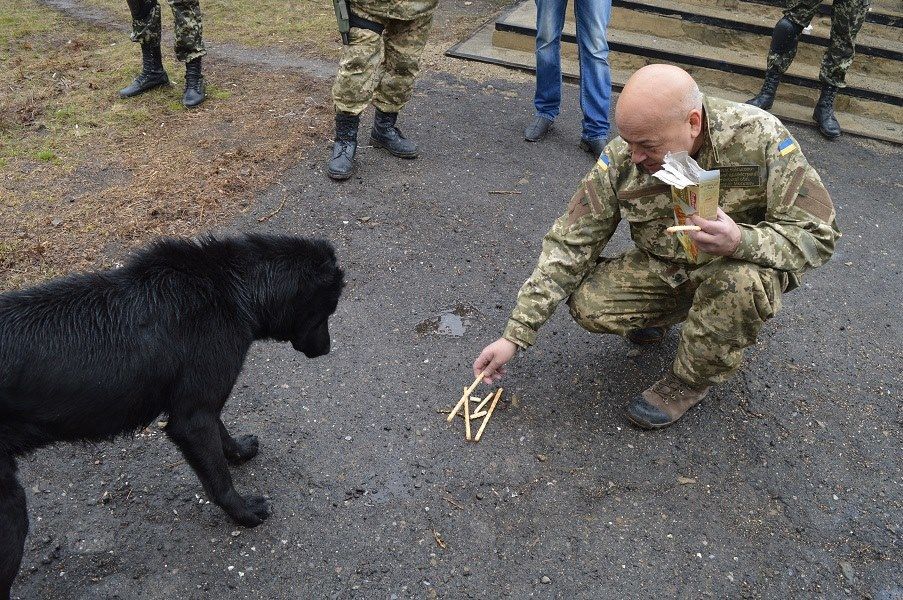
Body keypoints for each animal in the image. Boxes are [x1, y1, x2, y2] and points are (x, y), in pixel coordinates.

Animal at [0, 232, 346, 596]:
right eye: (328, 309)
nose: (327, 349)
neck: (232, 288)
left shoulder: (200, 401)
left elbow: (222, 433)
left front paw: (239, 451)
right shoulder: (191, 420)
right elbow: (219, 478)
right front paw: (243, 512)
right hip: (11, 511)